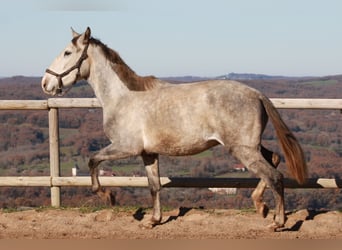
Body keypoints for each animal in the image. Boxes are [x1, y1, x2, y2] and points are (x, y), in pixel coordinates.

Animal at [42, 27, 308, 230]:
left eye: (67, 52)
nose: (45, 83)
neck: (122, 98)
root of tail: (257, 94)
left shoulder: (125, 147)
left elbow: (92, 160)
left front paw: (108, 196)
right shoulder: (148, 153)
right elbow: (154, 185)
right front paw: (153, 220)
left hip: (242, 149)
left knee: (274, 176)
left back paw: (277, 222)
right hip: (248, 146)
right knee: (274, 159)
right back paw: (261, 207)